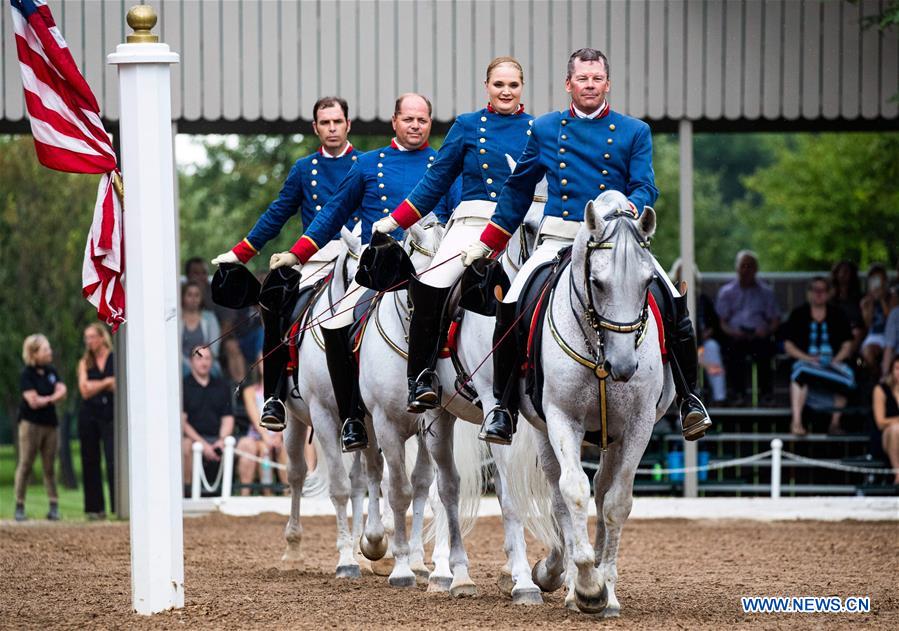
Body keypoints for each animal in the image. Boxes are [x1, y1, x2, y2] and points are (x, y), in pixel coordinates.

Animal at [278, 227, 384, 576]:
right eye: (356, 273)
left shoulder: (366, 420)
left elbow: (367, 478)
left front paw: (367, 548)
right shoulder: (323, 417)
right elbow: (337, 488)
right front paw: (346, 560)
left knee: (357, 480)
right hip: (295, 423)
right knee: (296, 474)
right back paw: (293, 549)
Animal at [506, 191, 676, 616]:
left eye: (648, 282)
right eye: (597, 283)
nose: (623, 366)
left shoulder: (638, 426)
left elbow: (615, 501)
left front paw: (606, 589)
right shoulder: (562, 420)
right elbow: (572, 492)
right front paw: (585, 585)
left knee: (601, 488)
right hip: (543, 432)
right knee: (559, 495)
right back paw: (562, 578)